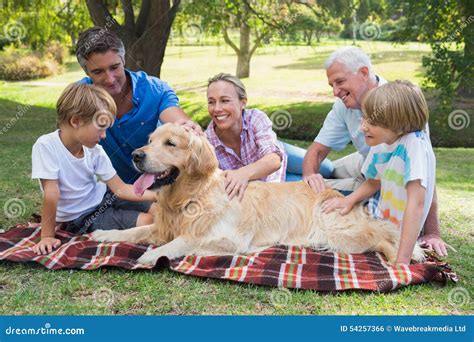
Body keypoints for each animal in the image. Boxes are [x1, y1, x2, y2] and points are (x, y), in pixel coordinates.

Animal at [90, 123, 424, 264]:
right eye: (150, 140)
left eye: (170, 143)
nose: (136, 155)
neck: (189, 195)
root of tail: (340, 196)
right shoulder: (162, 226)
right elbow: (134, 231)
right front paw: (105, 235)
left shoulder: (227, 238)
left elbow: (184, 241)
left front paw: (153, 254)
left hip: (341, 233)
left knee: (382, 236)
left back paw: (401, 259)